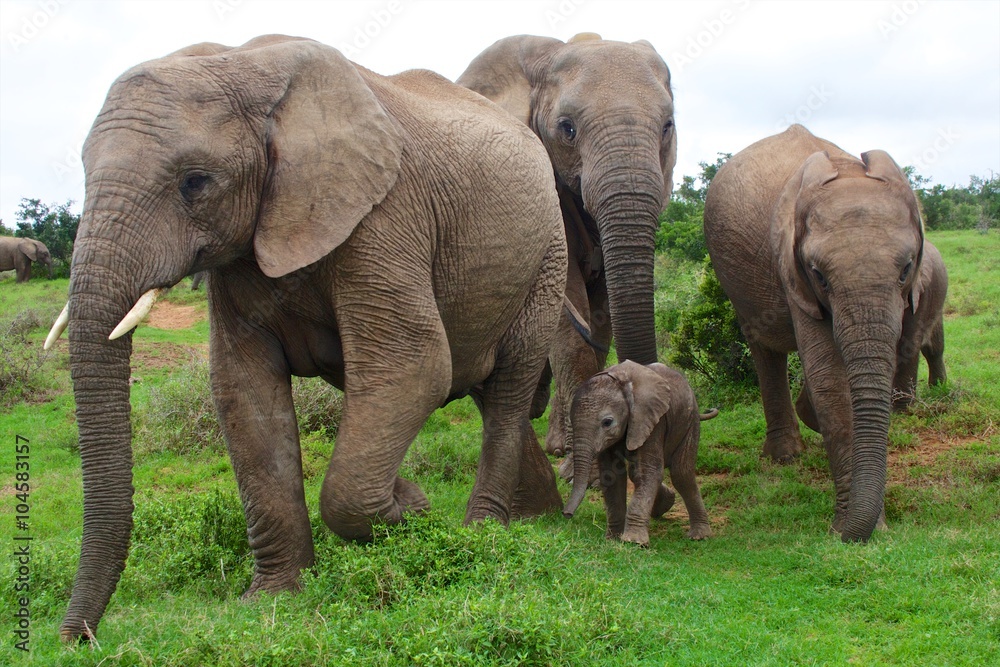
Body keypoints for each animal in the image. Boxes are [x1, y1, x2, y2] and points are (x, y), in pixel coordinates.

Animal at [45, 35, 572, 640]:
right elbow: (243, 392)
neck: (243, 65)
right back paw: (538, 516)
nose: (75, 640)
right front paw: (274, 598)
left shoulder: (385, 217)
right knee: (484, 390)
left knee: (507, 388)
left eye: (195, 182)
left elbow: (413, 366)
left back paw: (483, 531)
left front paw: (414, 512)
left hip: (548, 258)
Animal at [564, 362, 720, 544]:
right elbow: (612, 476)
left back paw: (699, 536)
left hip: (690, 420)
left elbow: (647, 472)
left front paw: (633, 542)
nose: (566, 514)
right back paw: (666, 505)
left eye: (607, 422)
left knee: (681, 474)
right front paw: (613, 538)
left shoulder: (652, 419)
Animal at [704, 124, 920, 544]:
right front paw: (857, 527)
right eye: (819, 275)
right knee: (763, 347)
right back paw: (785, 456)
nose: (847, 536)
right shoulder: (791, 267)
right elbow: (829, 381)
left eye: (906, 269)